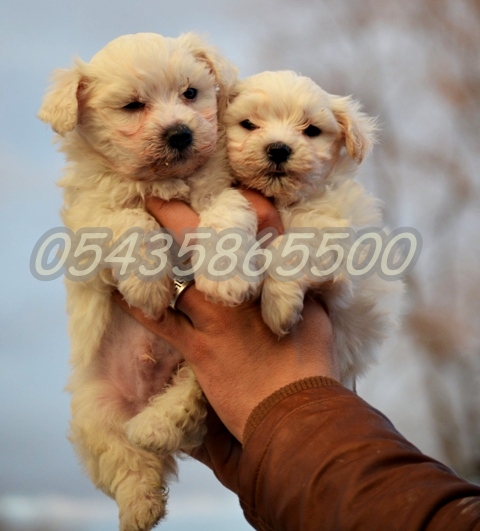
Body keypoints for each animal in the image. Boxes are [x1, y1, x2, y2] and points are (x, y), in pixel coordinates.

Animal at [39, 33, 258, 531]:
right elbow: (130, 220)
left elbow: (224, 214)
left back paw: (156, 427)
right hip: (95, 411)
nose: (180, 133)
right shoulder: (88, 222)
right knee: (126, 460)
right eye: (133, 106)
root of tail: (143, 399)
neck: (166, 182)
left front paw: (226, 275)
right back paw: (140, 505)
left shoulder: (222, 191)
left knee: (186, 403)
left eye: (190, 93)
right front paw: (148, 284)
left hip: (206, 370)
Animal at [223, 70, 404, 384]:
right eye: (248, 124)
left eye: (311, 130)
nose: (278, 149)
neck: (284, 200)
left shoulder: (340, 242)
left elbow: (292, 246)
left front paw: (279, 305)